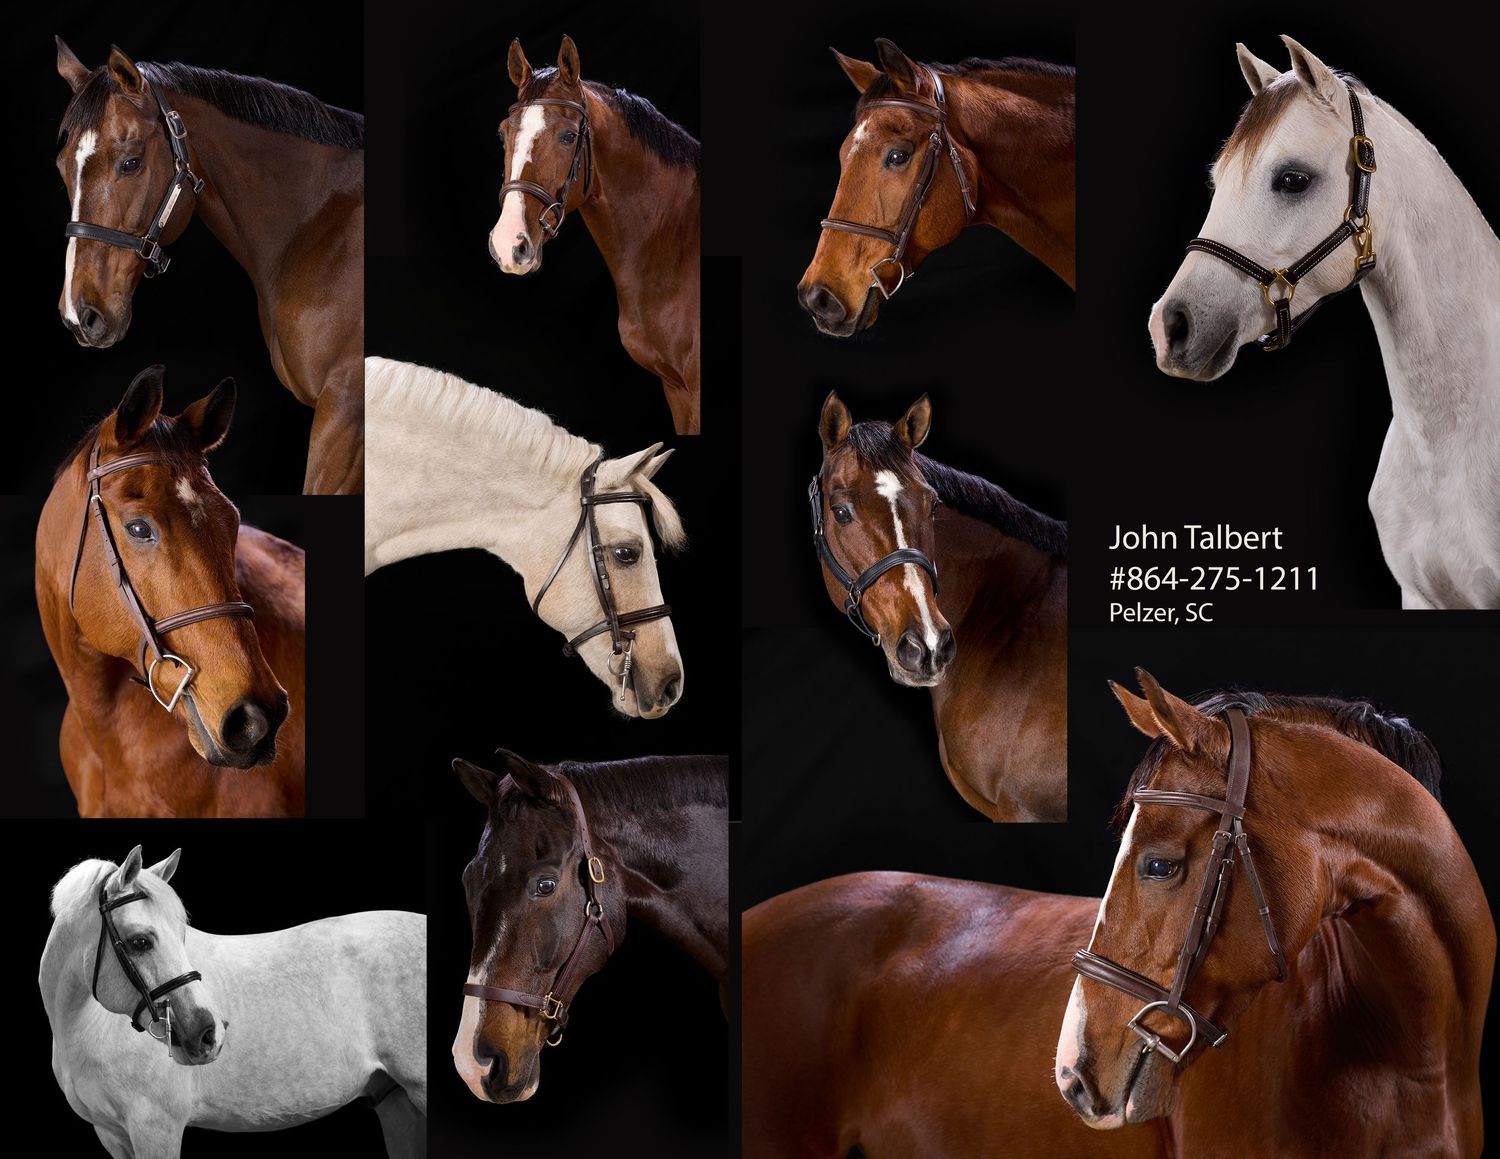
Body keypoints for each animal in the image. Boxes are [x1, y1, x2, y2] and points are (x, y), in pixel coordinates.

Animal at [42, 847, 427, 1158]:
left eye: (181, 934)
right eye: (140, 942)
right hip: (398, 1103)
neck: (87, 1026)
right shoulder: (111, 1134)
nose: (208, 1033)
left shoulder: (155, 1127)